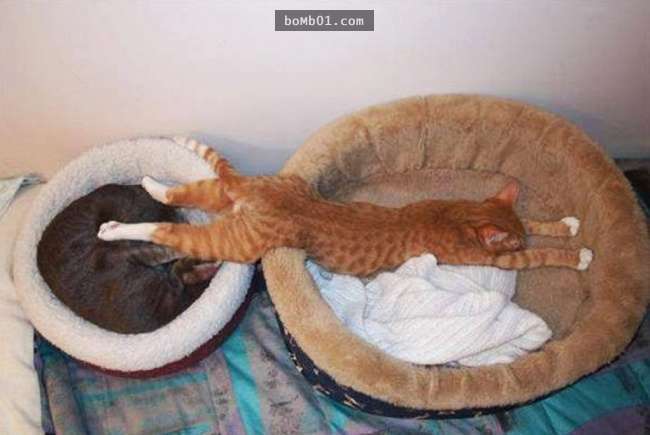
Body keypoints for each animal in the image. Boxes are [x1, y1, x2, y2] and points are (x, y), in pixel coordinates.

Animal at [97, 137, 593, 277]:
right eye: (516, 247)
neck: (460, 215)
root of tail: (265, 191)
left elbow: (536, 221)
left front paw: (567, 223)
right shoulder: (499, 259)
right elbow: (541, 255)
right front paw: (579, 254)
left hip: (226, 202)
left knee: (183, 194)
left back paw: (151, 181)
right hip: (234, 244)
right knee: (165, 232)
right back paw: (112, 230)